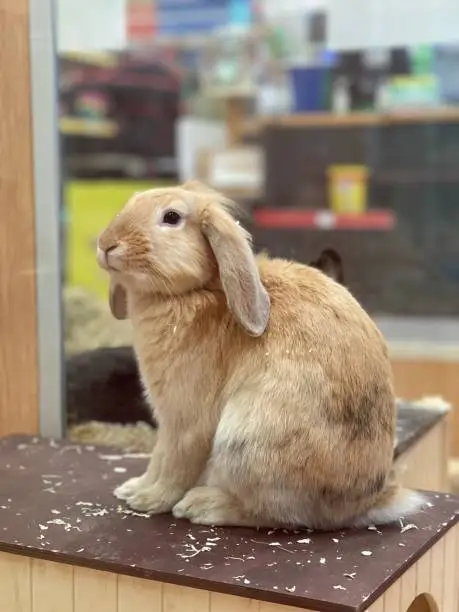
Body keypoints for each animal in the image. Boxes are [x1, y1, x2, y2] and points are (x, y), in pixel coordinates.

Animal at [96, 182, 424, 532]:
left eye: (172, 217)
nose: (106, 244)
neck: (196, 292)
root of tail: (366, 503)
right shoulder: (167, 421)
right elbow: (157, 457)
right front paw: (132, 488)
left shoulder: (185, 422)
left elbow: (174, 462)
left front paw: (149, 500)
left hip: (244, 440)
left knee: (273, 513)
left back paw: (203, 505)